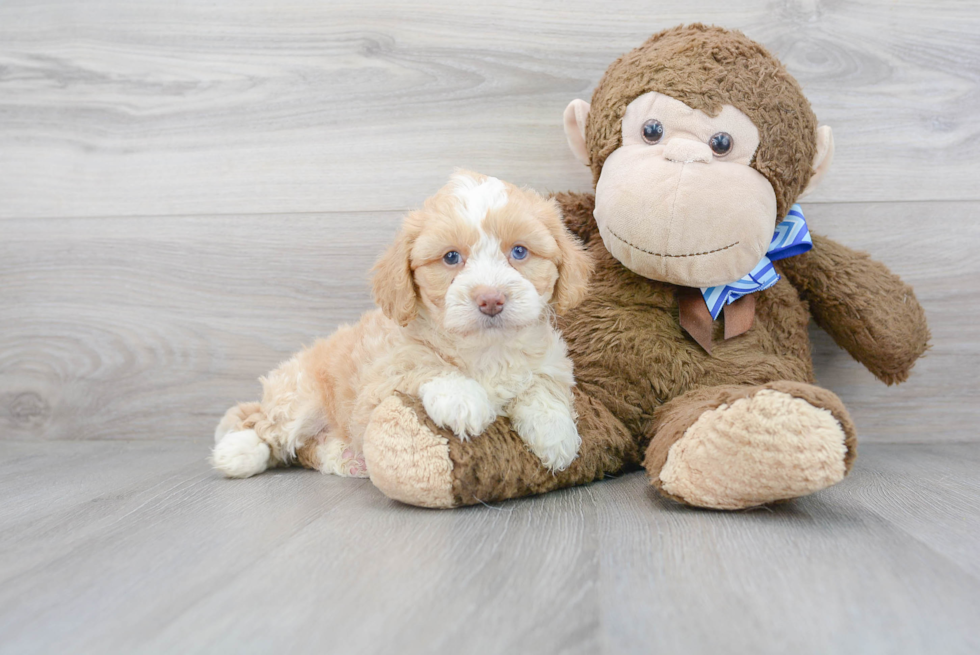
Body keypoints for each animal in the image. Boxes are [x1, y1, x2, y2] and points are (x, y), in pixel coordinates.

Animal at [212, 172, 592, 482]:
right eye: (451, 257)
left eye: (519, 252)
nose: (491, 299)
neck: (486, 349)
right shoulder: (377, 381)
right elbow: (420, 364)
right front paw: (462, 398)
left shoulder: (550, 362)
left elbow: (542, 386)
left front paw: (556, 432)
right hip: (299, 396)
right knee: (266, 427)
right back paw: (238, 452)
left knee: (308, 448)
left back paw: (345, 457)